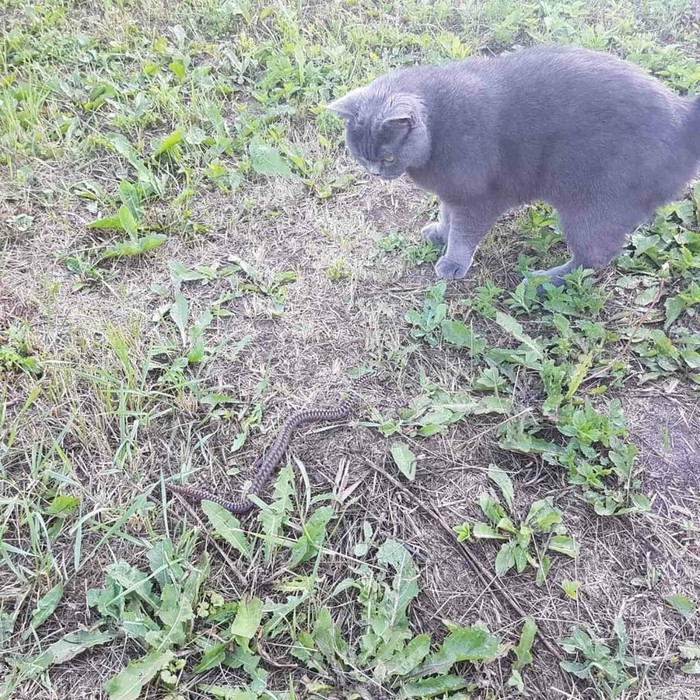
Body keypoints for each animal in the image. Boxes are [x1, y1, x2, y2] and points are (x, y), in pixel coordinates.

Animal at [328, 46, 700, 284]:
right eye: (360, 156)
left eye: (387, 157)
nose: (375, 172)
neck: (438, 129)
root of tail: (684, 116)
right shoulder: (453, 192)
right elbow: (447, 214)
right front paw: (438, 233)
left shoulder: (477, 197)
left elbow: (464, 232)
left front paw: (452, 262)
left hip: (595, 205)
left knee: (593, 259)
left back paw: (543, 281)